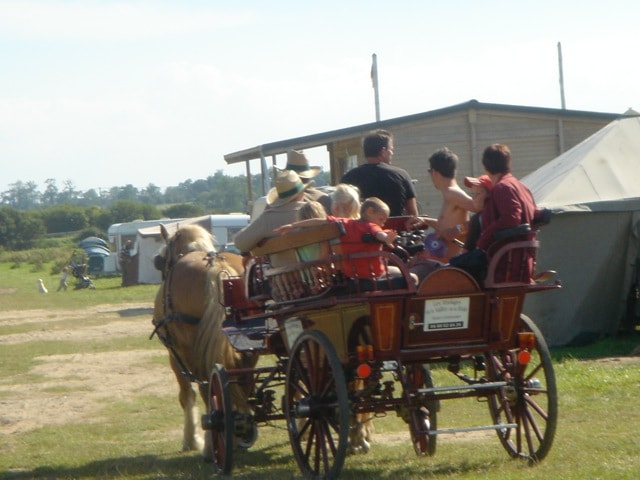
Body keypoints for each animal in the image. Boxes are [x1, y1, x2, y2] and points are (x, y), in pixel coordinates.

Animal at [152, 224, 255, 458]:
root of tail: (217, 267)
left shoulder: (175, 354)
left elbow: (186, 395)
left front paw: (191, 440)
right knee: (243, 381)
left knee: (207, 386)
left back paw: (211, 444)